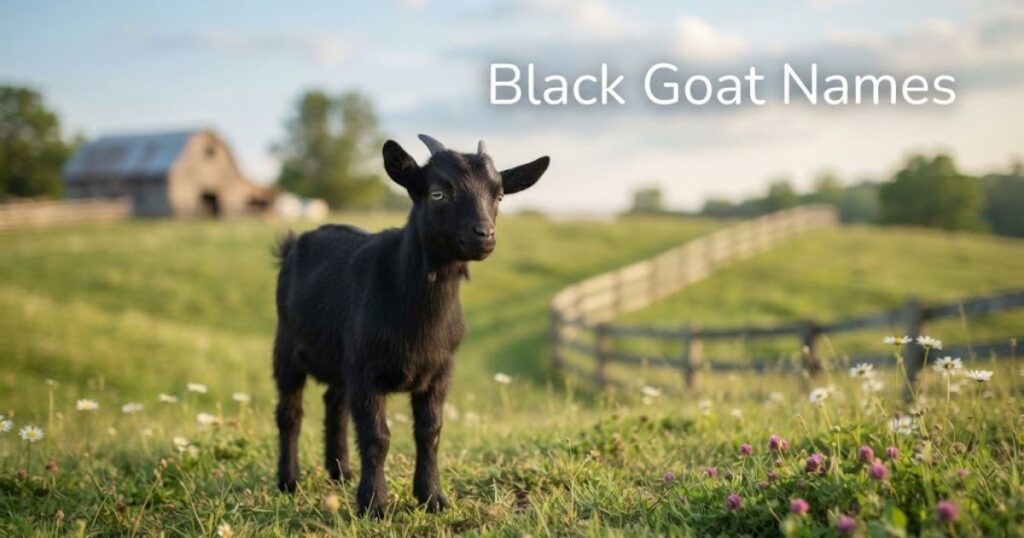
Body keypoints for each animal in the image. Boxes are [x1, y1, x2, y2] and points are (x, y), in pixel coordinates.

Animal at [272, 134, 549, 516]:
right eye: (438, 193)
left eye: (500, 196)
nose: (485, 235)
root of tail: (294, 244)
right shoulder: (365, 371)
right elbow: (376, 436)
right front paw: (374, 504)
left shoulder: (440, 370)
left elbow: (430, 431)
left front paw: (432, 497)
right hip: (286, 346)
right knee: (291, 412)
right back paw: (289, 480)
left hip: (340, 360)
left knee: (334, 404)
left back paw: (340, 472)